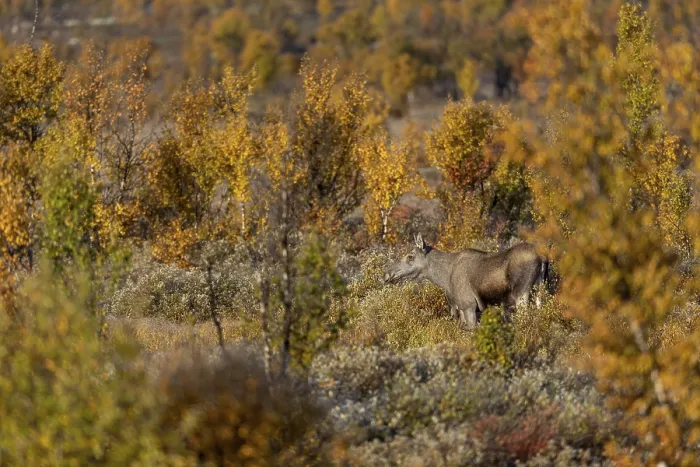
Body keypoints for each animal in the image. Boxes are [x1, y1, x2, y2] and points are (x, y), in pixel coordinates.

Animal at [383, 234, 549, 329]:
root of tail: (543, 258)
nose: (387, 274)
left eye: (410, 256)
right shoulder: (463, 308)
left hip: (522, 294)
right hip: (540, 292)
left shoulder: (468, 305)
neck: (444, 277)